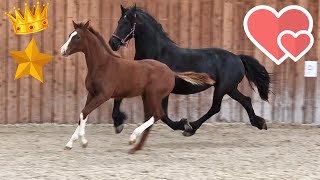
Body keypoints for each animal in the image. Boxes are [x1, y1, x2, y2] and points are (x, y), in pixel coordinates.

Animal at [60, 21, 215, 153]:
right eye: (69, 35)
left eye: (78, 37)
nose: (63, 50)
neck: (102, 65)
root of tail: (171, 72)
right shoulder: (91, 94)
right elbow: (82, 114)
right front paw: (70, 143)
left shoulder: (103, 95)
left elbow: (84, 112)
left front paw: (83, 142)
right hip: (146, 97)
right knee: (151, 117)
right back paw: (136, 148)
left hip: (154, 95)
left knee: (158, 115)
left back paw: (133, 138)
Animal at [109, 4, 272, 136]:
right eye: (118, 21)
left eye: (127, 23)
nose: (113, 43)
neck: (157, 54)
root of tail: (238, 58)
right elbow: (118, 98)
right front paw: (118, 123)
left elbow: (163, 115)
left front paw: (183, 125)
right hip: (230, 88)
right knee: (245, 100)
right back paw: (260, 123)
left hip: (222, 88)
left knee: (215, 107)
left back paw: (192, 128)